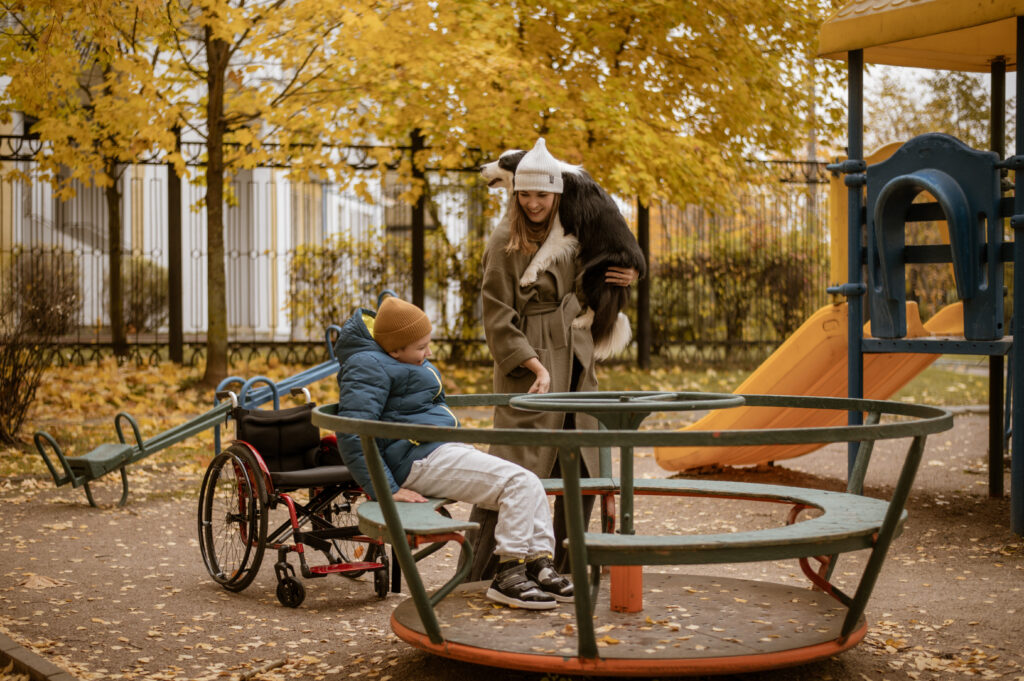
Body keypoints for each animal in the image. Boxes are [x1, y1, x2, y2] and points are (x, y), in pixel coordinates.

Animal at [481, 146, 643, 358]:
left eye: (502, 162)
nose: (481, 167)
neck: (555, 181)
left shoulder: (563, 228)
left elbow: (542, 252)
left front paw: (527, 276)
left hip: (596, 272)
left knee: (599, 307)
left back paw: (580, 322)